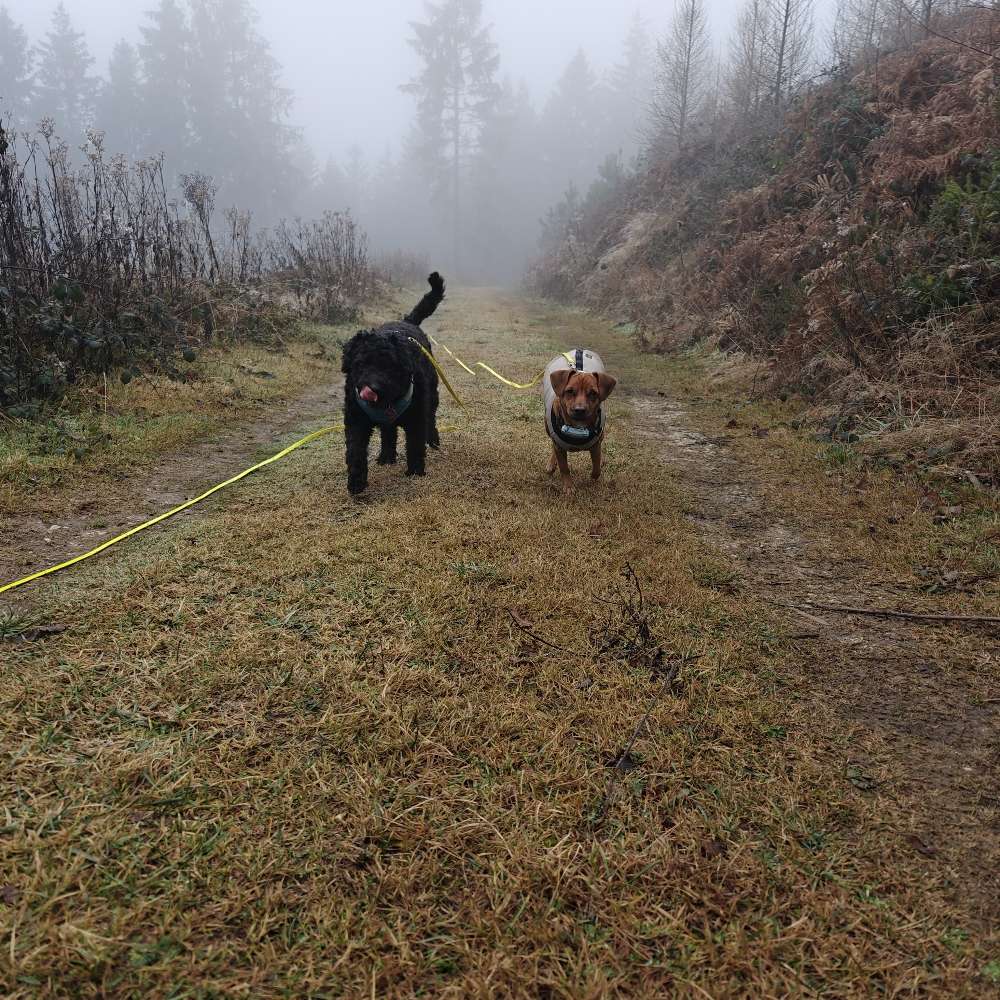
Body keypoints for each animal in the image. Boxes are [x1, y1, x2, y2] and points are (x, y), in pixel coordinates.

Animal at [342, 272, 444, 494]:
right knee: (388, 432)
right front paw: (356, 481)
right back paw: (386, 456)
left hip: (432, 394)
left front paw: (415, 471)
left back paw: (432, 440)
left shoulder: (416, 417)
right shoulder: (356, 420)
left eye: (389, 365)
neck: (386, 402)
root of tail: (408, 321)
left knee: (430, 418)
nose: (372, 388)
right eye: (360, 363)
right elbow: (355, 450)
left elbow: (415, 444)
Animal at [544, 348, 612, 496]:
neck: (577, 428)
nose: (579, 410)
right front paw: (568, 486)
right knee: (553, 444)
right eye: (569, 391)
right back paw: (551, 464)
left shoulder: (595, 445)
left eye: (593, 393)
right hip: (548, 429)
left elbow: (596, 467)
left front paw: (594, 477)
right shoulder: (559, 445)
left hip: (602, 434)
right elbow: (564, 467)